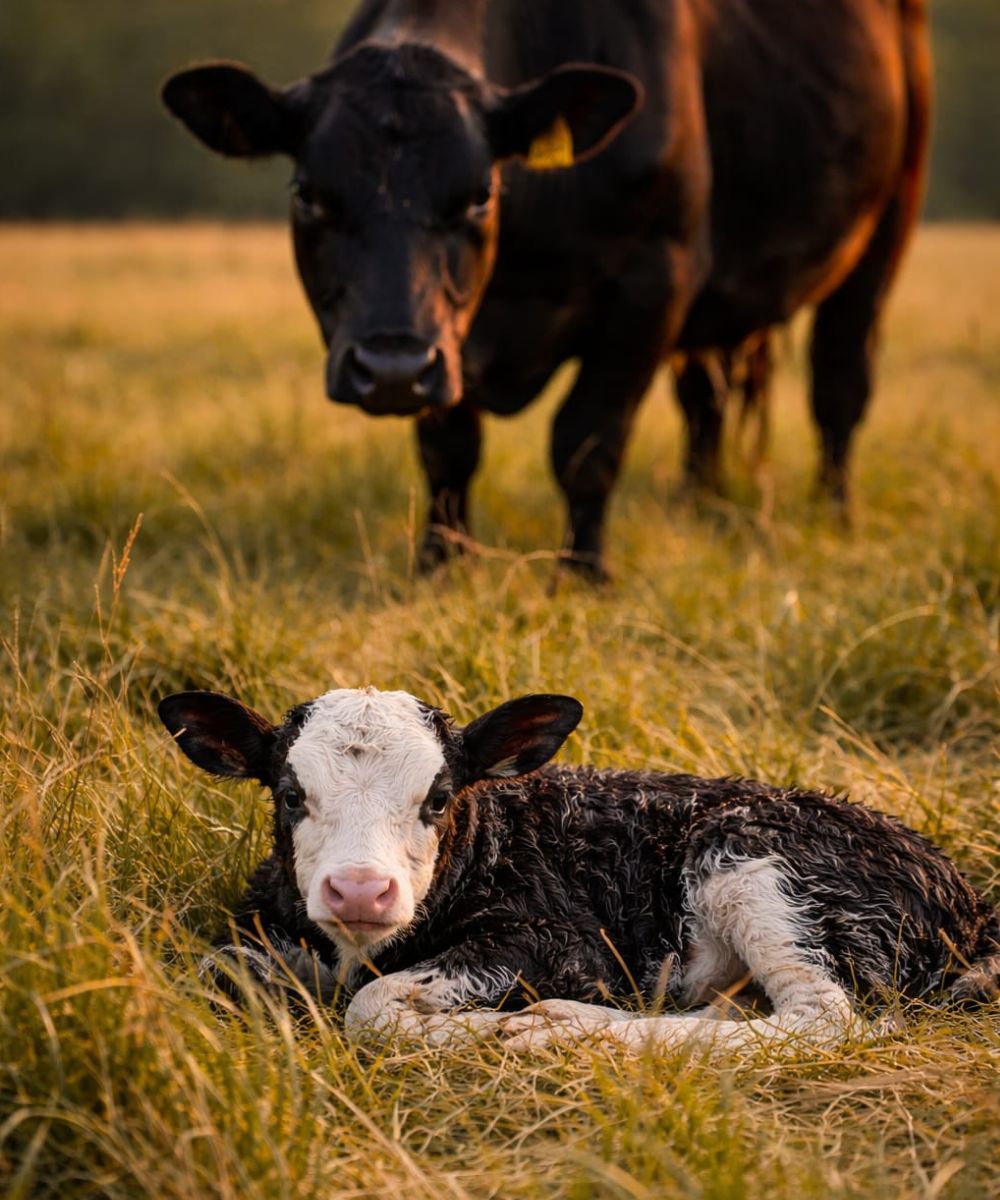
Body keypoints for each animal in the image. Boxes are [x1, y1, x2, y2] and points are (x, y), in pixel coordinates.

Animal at [158, 685, 1000, 1052]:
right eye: (291, 793)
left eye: (438, 796)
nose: (361, 889)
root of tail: (966, 900)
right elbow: (212, 969)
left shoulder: (566, 945)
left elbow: (372, 1009)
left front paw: (481, 1032)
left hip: (759, 861)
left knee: (819, 1019)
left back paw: (556, 1031)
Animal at [161, 0, 931, 579]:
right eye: (309, 194)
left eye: (480, 194)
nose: (391, 367)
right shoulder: (450, 346)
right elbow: (448, 449)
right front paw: (442, 567)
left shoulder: (654, 283)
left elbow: (587, 443)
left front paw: (583, 574)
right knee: (706, 400)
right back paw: (699, 506)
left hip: (887, 223)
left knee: (839, 388)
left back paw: (834, 516)